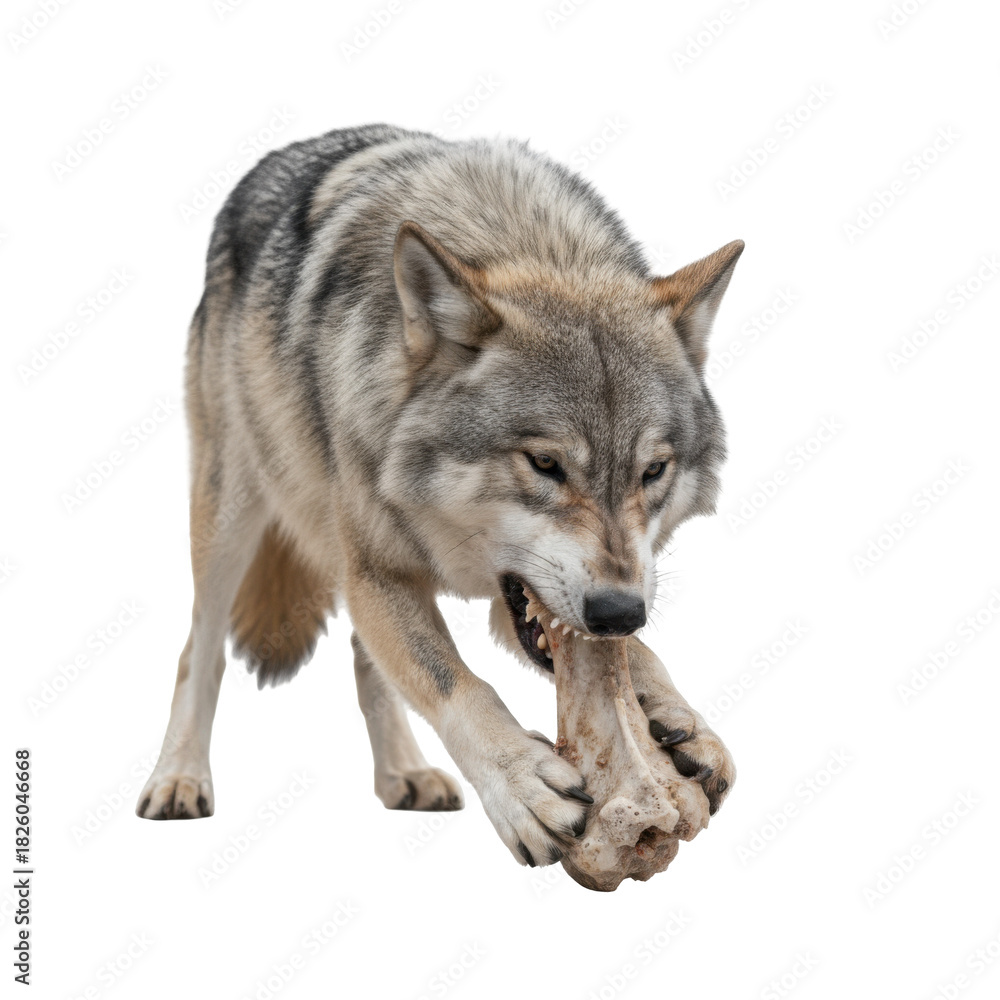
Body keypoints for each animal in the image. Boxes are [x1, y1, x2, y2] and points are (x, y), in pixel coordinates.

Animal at [136, 123, 741, 870]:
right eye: (545, 463)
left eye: (653, 471)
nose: (617, 611)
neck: (522, 241)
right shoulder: (376, 570)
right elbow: (457, 682)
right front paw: (520, 781)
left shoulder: (516, 601)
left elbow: (632, 658)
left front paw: (683, 719)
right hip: (232, 516)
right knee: (201, 649)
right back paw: (179, 778)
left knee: (367, 666)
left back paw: (405, 773)